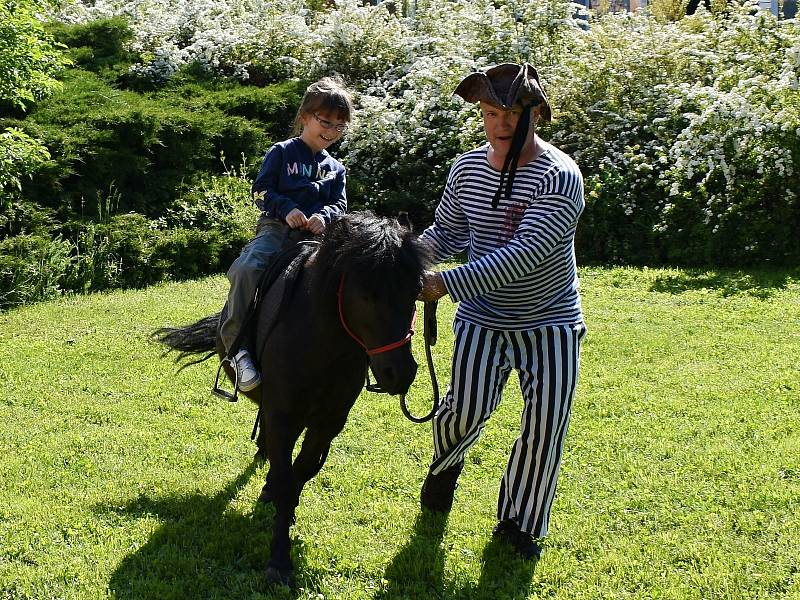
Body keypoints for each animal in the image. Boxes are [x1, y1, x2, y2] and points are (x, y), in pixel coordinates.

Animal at [156, 212, 432, 584]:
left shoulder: (326, 425)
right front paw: (279, 560)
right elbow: (287, 476)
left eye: (415, 292)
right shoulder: (284, 415)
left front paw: (284, 524)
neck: (322, 344)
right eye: (366, 294)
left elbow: (298, 477)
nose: (399, 373)